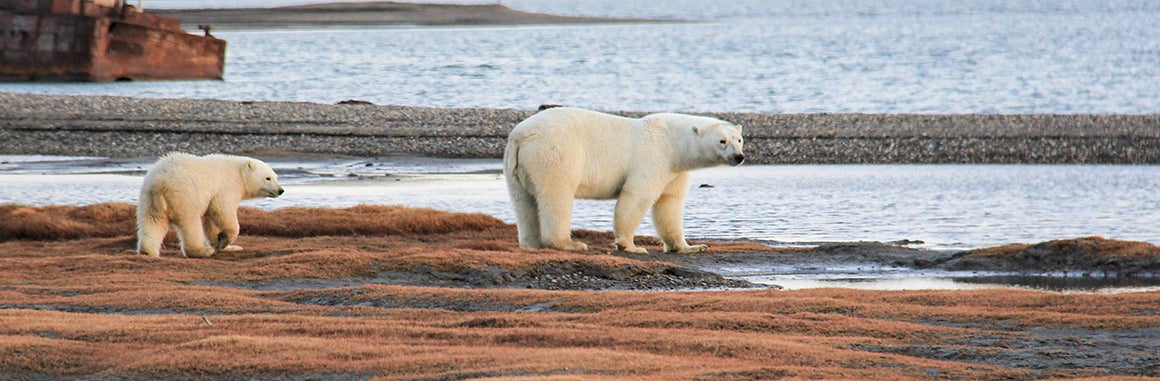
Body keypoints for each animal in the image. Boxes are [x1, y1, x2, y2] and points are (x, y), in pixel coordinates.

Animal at [136, 153, 284, 257]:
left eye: (276, 176)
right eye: (268, 178)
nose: (280, 190)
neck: (238, 173)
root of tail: (160, 183)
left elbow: (211, 221)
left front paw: (223, 244)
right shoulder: (226, 187)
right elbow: (222, 210)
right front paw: (225, 241)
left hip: (148, 200)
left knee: (152, 223)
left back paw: (147, 251)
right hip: (185, 196)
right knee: (190, 224)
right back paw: (203, 251)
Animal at [505, 106, 742, 254]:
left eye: (739, 139)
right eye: (722, 141)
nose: (739, 157)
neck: (673, 141)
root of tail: (521, 135)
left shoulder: (674, 170)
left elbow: (669, 204)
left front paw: (690, 246)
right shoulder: (654, 156)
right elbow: (637, 196)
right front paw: (630, 246)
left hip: (516, 166)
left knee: (522, 201)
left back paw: (531, 242)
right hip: (556, 153)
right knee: (557, 196)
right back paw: (570, 243)